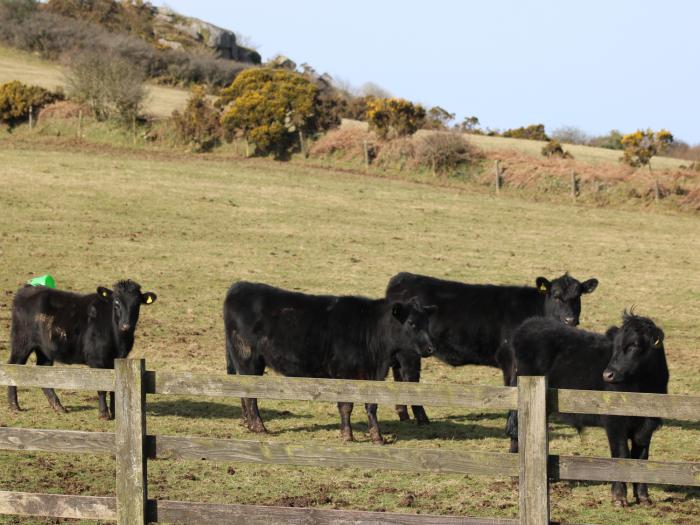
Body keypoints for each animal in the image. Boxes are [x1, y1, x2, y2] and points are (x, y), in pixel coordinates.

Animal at [8, 280, 157, 420]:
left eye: (136, 304)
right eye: (116, 302)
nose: (126, 326)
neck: (118, 339)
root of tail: (29, 288)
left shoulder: (117, 360)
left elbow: (113, 387)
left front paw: (115, 412)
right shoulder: (96, 360)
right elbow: (102, 388)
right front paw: (103, 414)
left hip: (45, 349)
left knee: (43, 371)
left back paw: (58, 406)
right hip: (21, 343)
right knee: (13, 365)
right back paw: (14, 406)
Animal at [224, 282, 434, 442]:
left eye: (426, 323)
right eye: (411, 323)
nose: (431, 349)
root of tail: (239, 287)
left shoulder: (373, 376)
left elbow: (371, 406)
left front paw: (377, 436)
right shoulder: (343, 374)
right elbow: (346, 406)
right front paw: (347, 435)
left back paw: (248, 423)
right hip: (247, 358)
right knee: (250, 396)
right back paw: (259, 426)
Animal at [382, 272, 596, 424]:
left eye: (578, 296)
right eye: (556, 296)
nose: (570, 320)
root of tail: (402, 278)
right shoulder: (511, 361)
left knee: (398, 375)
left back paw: (403, 414)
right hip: (410, 353)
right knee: (410, 378)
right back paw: (422, 419)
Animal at [504, 314, 668, 506]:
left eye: (635, 345)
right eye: (615, 346)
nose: (607, 374)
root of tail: (530, 324)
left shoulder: (647, 425)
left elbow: (641, 456)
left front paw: (643, 496)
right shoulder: (614, 422)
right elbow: (621, 454)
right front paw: (619, 497)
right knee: (515, 431)